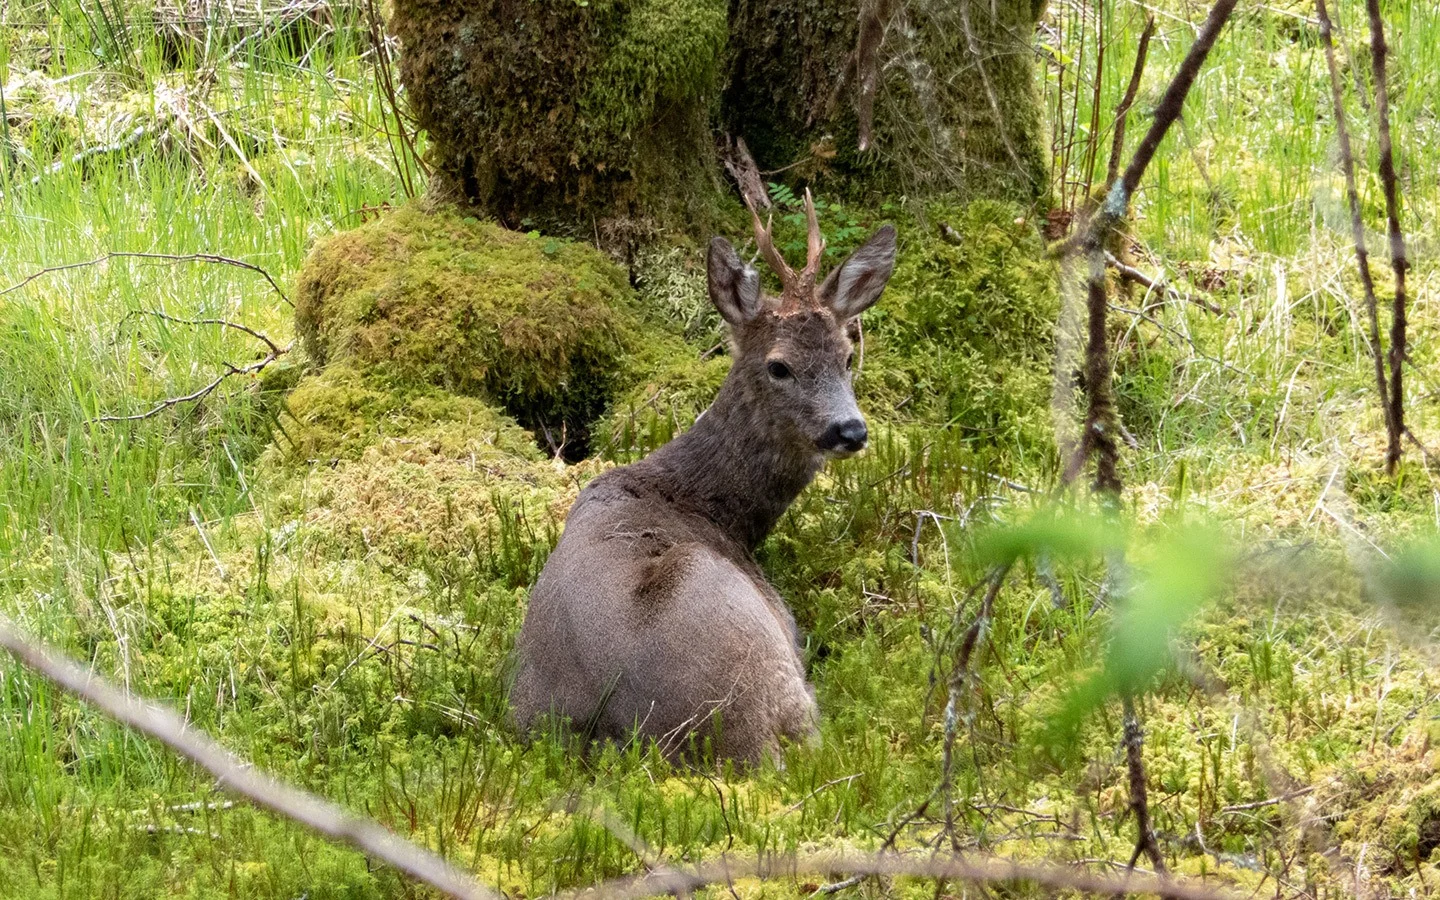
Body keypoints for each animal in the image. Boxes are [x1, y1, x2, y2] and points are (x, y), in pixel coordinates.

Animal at [506, 192, 887, 760]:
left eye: (846, 357)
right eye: (779, 366)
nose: (850, 429)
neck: (710, 507)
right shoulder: (785, 621)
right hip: (767, 667)